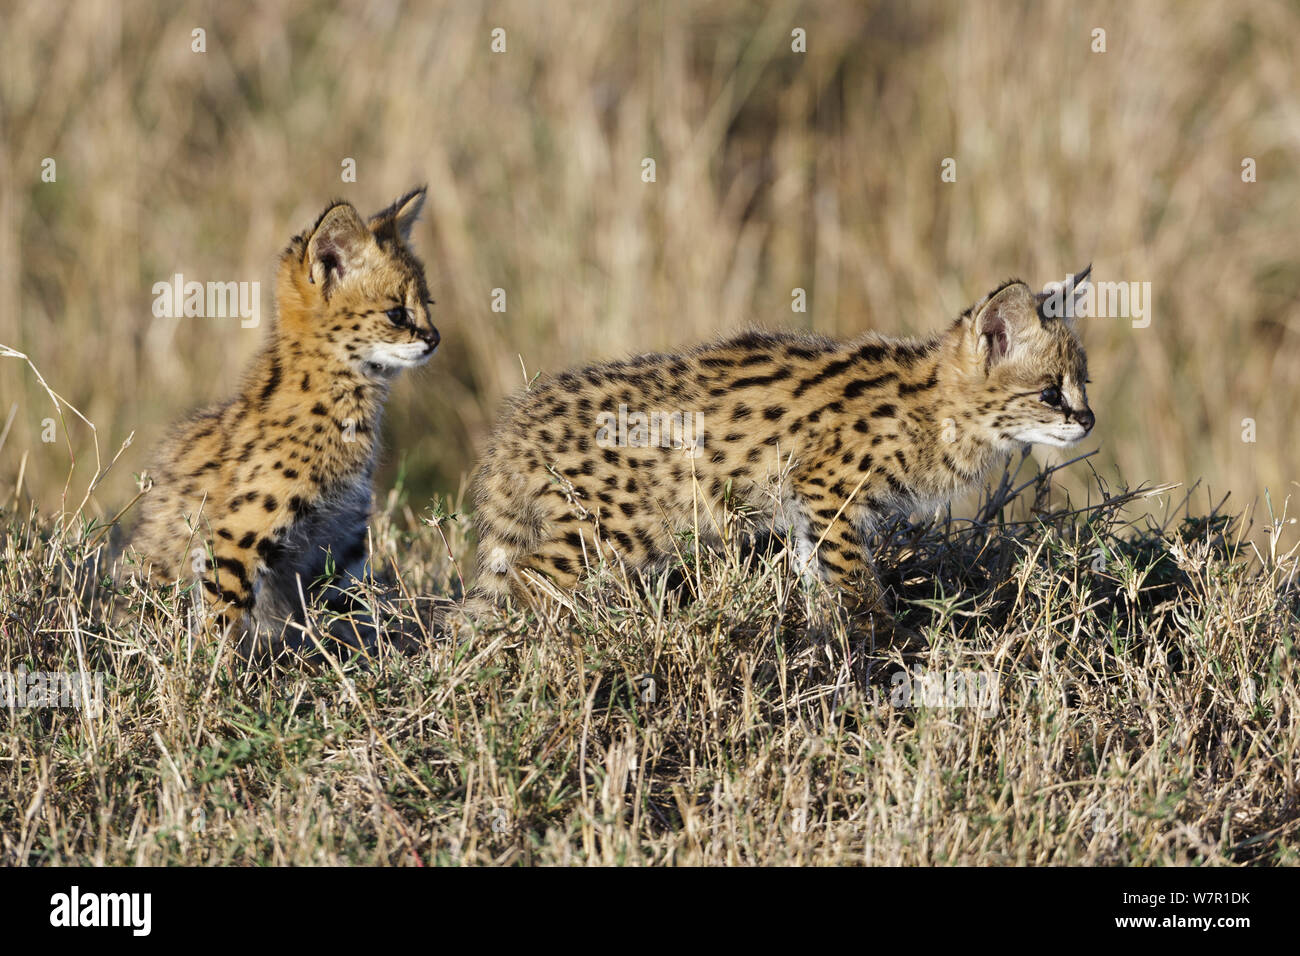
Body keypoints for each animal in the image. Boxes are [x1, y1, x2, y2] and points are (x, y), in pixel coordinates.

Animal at [128, 187, 441, 650]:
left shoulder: (342, 543)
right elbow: (222, 623)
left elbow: (353, 617)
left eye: (429, 304)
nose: (435, 339)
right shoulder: (237, 538)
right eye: (397, 314)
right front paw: (213, 668)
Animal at [467, 267, 1097, 634]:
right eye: (1050, 392)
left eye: (1084, 382)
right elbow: (853, 579)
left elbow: (815, 573)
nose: (1089, 420)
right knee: (527, 580)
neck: (938, 408)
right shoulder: (827, 490)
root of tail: (515, 425)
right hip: (615, 530)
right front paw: (880, 640)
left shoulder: (806, 508)